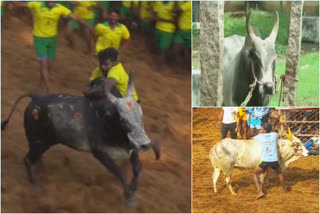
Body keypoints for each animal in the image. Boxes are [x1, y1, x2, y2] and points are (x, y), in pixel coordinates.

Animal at [1, 93, 160, 203]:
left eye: (141, 116)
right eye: (123, 119)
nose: (146, 144)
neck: (107, 120)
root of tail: (36, 97)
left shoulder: (131, 148)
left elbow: (137, 167)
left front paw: (133, 189)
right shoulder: (100, 153)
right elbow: (119, 171)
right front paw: (129, 197)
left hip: (42, 143)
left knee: (35, 158)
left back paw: (43, 172)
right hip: (39, 142)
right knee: (28, 159)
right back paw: (35, 185)